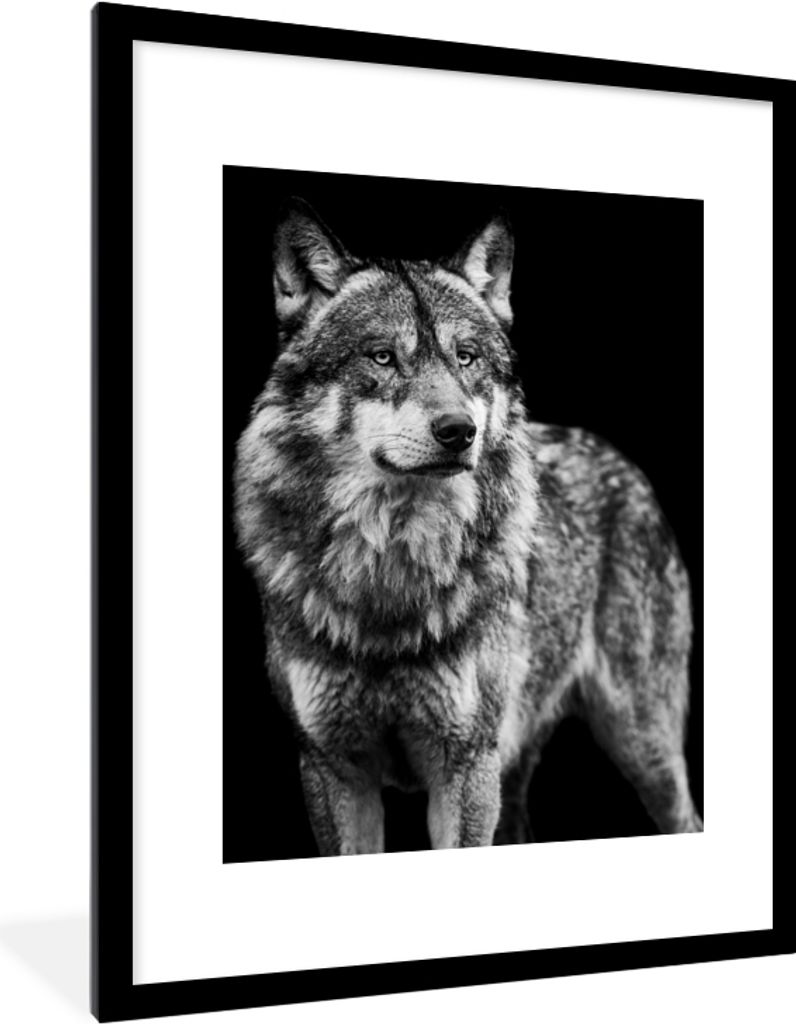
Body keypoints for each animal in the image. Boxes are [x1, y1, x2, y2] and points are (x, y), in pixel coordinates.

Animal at [234, 197, 703, 855]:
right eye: (383, 356)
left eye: (466, 357)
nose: (460, 432)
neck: (391, 573)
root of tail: (621, 461)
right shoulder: (331, 770)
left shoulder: (466, 765)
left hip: (641, 743)